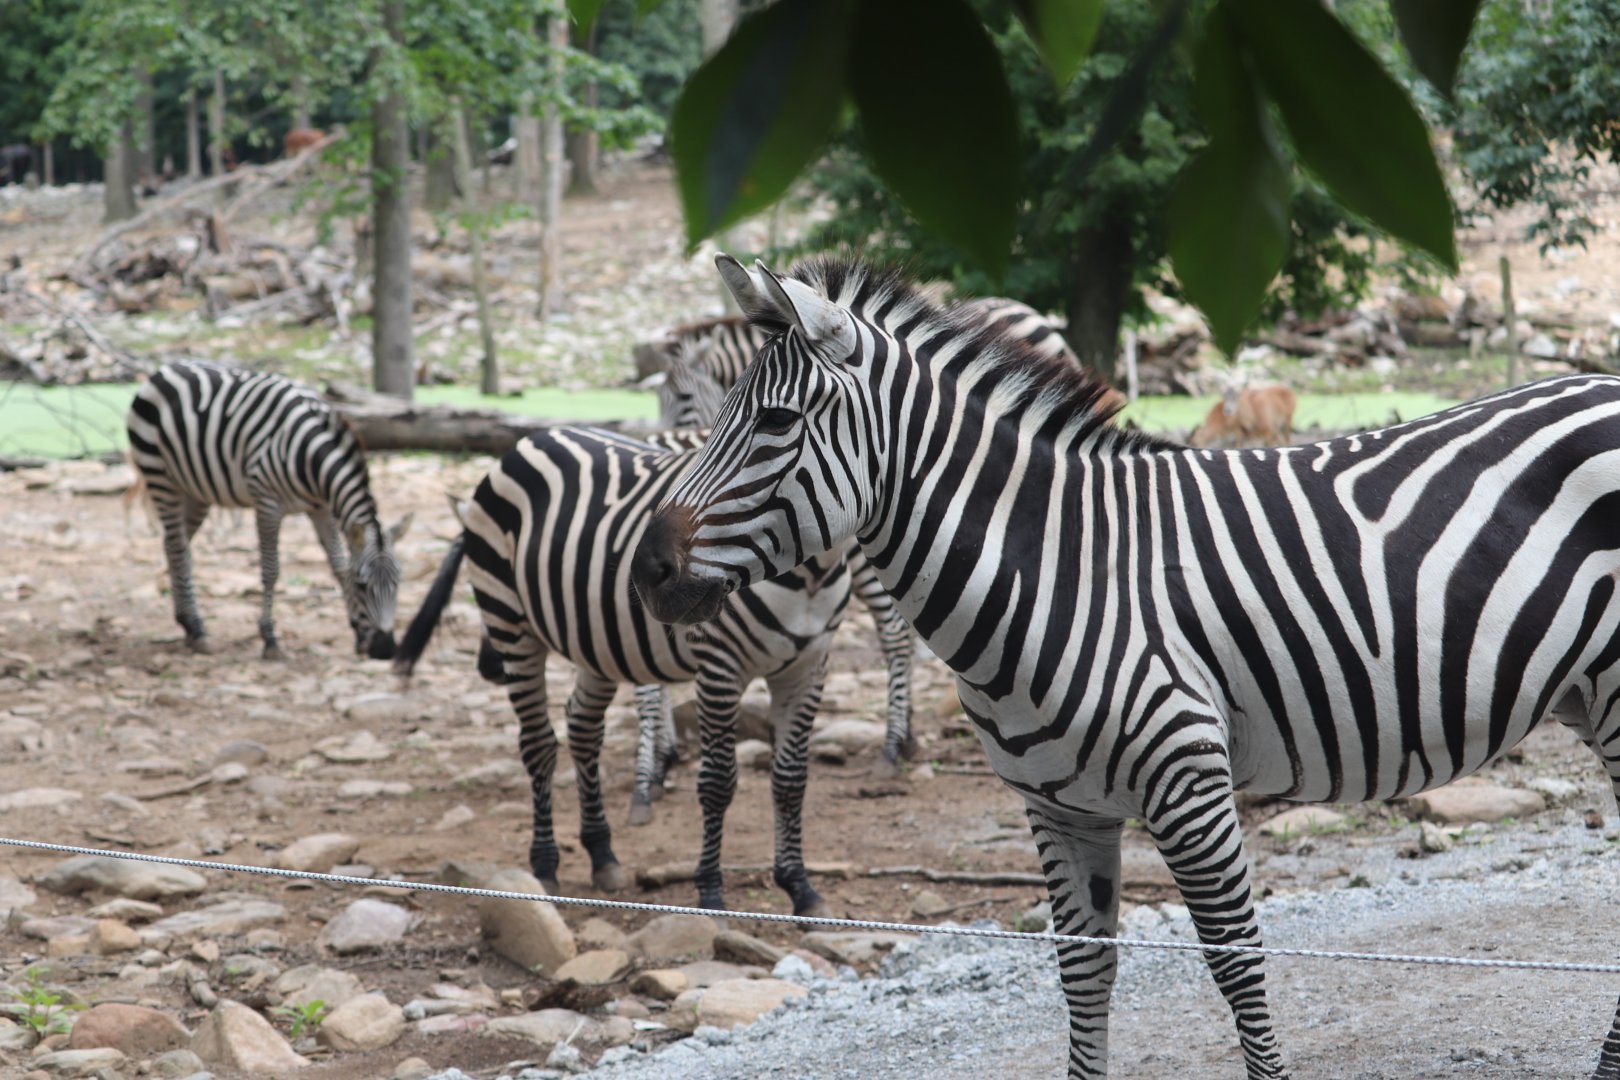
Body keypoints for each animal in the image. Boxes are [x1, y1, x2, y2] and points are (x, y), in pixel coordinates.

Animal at [126, 360, 408, 660]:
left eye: (398, 583)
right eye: (363, 586)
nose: (386, 649)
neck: (310, 457)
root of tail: (165, 369)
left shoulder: (322, 508)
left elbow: (339, 565)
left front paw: (359, 633)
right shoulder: (267, 503)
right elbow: (271, 570)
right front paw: (269, 638)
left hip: (194, 490)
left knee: (174, 546)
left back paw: (188, 624)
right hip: (160, 476)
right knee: (179, 548)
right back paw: (197, 628)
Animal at [391, 424, 849, 916]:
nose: (487, 667)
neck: (808, 577)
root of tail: (535, 436)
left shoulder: (809, 667)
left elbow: (791, 782)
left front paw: (800, 888)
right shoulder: (719, 666)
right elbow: (718, 783)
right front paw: (710, 893)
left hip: (596, 641)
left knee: (583, 730)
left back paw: (601, 852)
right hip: (512, 621)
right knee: (538, 744)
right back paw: (545, 864)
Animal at [631, 254, 1620, 1080]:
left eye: (773, 422)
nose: (647, 573)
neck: (1056, 567)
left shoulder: (1189, 780)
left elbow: (1236, 964)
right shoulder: (1059, 807)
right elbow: (1084, 972)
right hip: (1586, 694)